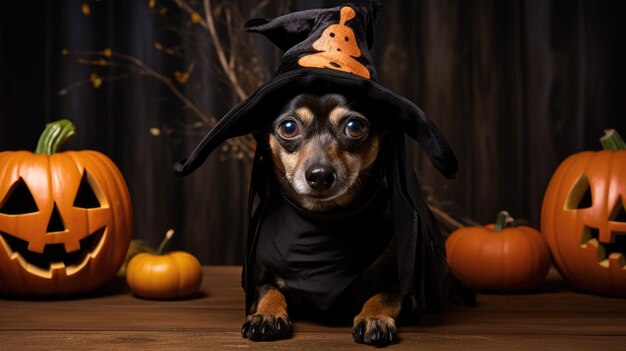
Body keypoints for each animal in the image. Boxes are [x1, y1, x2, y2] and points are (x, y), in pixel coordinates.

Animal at [239, 93, 404, 346]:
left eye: (354, 127)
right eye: (288, 128)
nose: (320, 175)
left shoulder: (399, 284)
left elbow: (383, 296)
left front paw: (374, 318)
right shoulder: (264, 278)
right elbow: (270, 293)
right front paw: (266, 315)